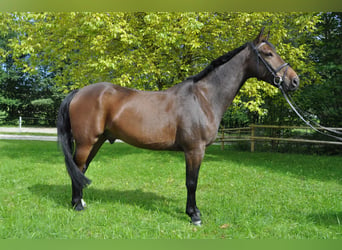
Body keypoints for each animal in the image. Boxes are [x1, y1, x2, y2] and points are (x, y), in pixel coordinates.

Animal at [56, 28, 300, 226]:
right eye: (268, 54)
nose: (294, 80)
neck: (203, 98)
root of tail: (79, 92)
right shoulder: (194, 150)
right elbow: (191, 182)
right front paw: (194, 215)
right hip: (86, 142)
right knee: (77, 167)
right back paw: (77, 205)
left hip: (96, 142)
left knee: (80, 169)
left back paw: (80, 202)